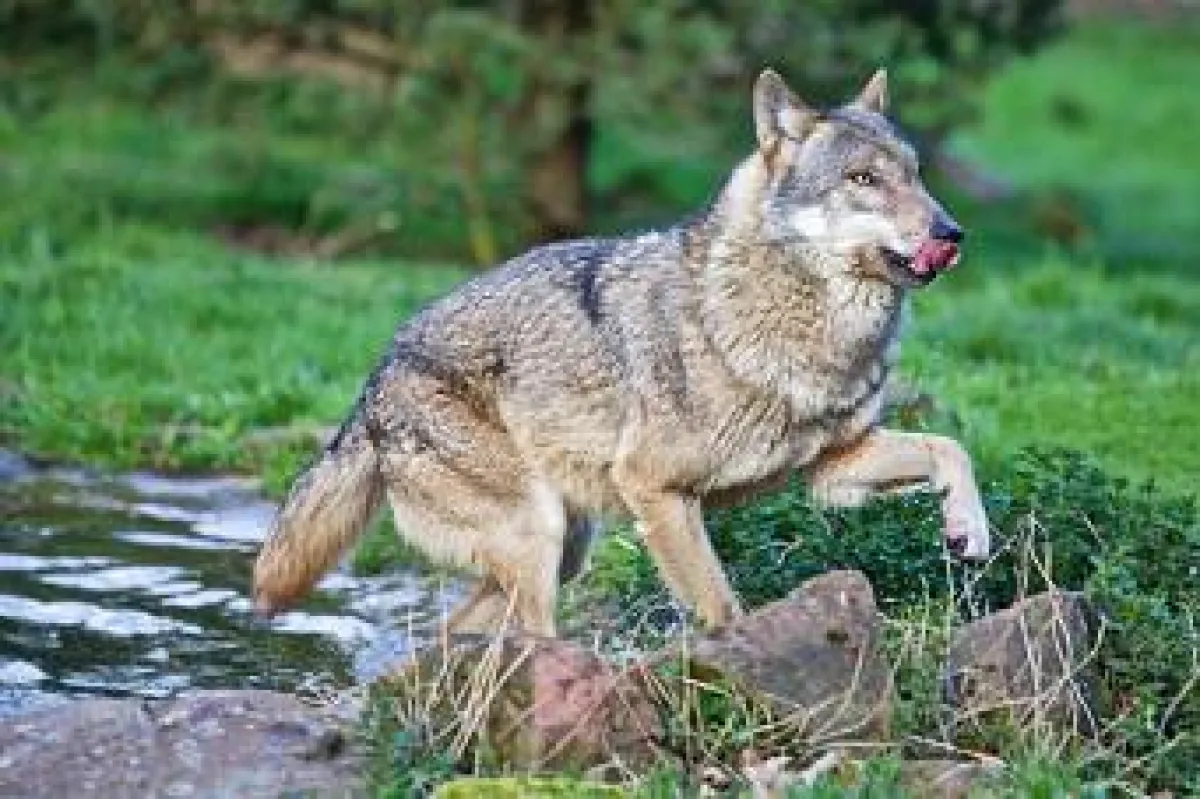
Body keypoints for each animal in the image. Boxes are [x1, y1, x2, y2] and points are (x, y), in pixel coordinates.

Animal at [253, 68, 990, 636]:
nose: (952, 232)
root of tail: (374, 380)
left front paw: (969, 531)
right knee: (530, 638)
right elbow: (721, 606)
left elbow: (950, 447)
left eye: (917, 176)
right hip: (539, 534)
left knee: (457, 633)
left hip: (562, 550)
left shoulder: (835, 466)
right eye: (863, 179)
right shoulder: (656, 490)